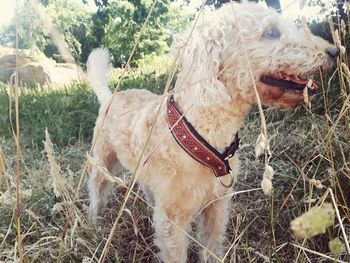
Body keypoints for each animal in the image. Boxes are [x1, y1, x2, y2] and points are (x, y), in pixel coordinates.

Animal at [87, 2, 336, 263]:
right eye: (271, 32)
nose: (334, 51)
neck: (200, 134)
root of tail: (109, 96)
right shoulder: (173, 223)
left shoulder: (216, 207)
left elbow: (212, 247)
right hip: (102, 162)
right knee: (96, 191)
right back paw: (94, 224)